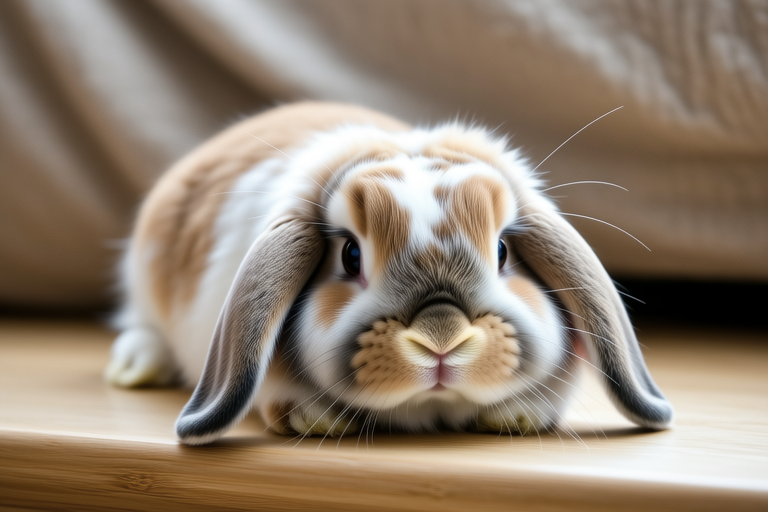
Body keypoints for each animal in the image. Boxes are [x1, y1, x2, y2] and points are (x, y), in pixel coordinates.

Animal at [106, 102, 673, 445]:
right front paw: (316, 420)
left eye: (503, 251)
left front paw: (518, 417)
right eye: (350, 256)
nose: (441, 336)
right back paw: (135, 368)